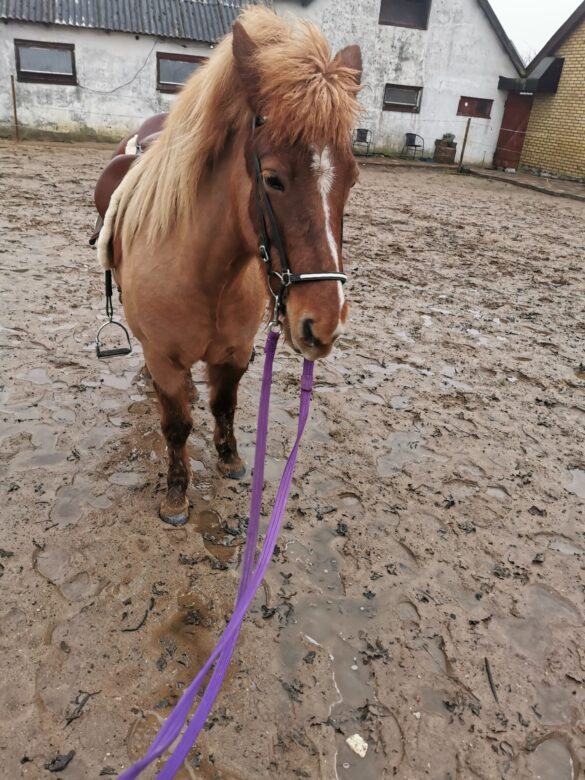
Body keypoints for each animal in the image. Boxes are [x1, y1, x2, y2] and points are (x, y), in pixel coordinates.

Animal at [98, 7, 362, 526]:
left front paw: (231, 460)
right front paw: (176, 496)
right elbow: (176, 425)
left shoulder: (235, 352)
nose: (323, 324)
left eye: (353, 178)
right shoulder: (164, 359)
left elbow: (225, 404)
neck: (206, 277)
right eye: (273, 179)